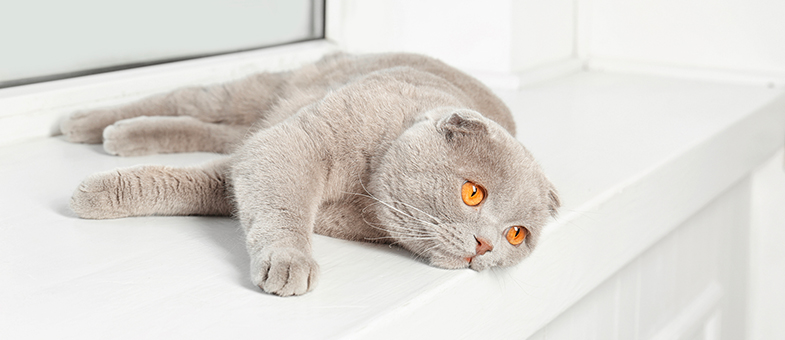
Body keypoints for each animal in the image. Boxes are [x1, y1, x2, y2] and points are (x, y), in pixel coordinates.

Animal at [64, 51, 560, 296]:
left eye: (517, 235)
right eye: (473, 193)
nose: (486, 245)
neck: (362, 199)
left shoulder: (249, 161)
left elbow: (197, 183)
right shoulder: (289, 146)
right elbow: (277, 206)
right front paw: (290, 262)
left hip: (254, 121)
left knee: (210, 130)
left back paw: (120, 134)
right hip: (250, 93)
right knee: (185, 99)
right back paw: (85, 122)